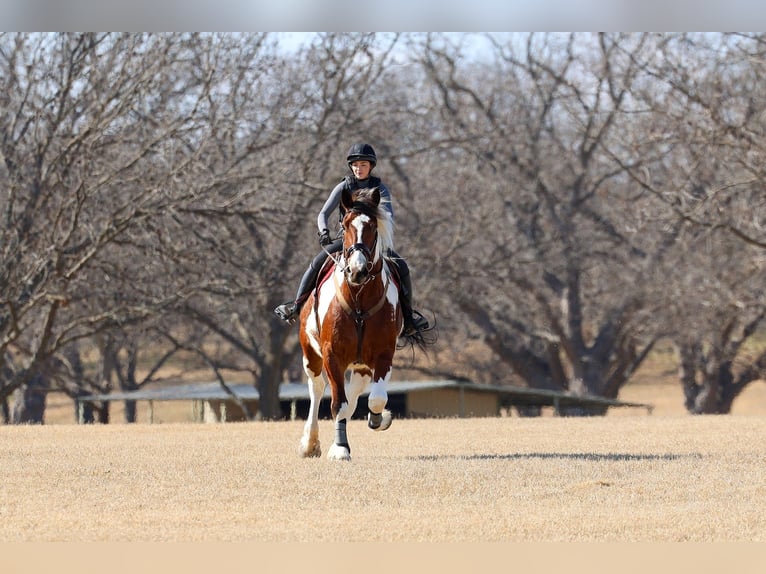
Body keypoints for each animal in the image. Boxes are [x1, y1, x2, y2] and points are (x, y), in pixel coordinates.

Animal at [298, 186, 401, 461]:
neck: (359, 301)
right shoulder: (332, 354)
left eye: (373, 226)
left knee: (355, 394)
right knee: (317, 388)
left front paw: (379, 419)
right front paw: (341, 449)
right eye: (344, 225)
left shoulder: (383, 355)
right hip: (310, 353)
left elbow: (376, 399)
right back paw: (309, 443)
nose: (357, 271)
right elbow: (339, 404)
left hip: (361, 364)